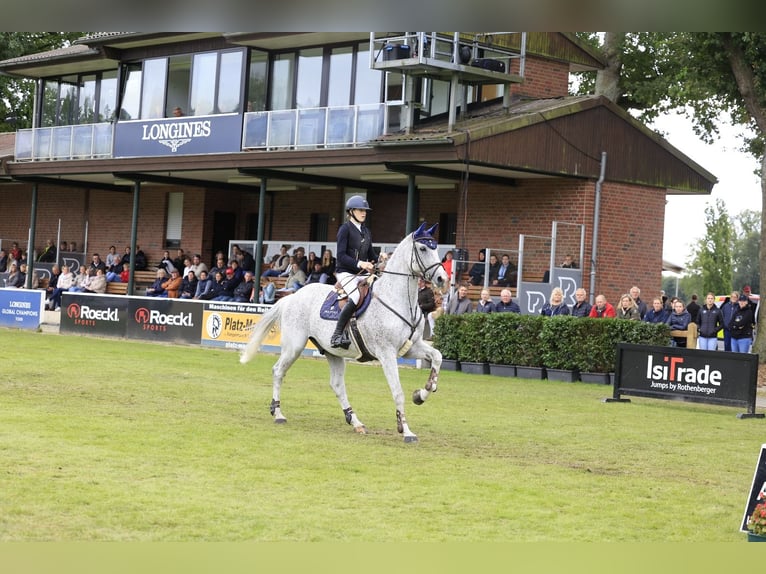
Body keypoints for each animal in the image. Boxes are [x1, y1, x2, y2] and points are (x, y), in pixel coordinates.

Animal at [242, 223, 450, 444]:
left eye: (436, 248)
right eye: (423, 249)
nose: (442, 279)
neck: (398, 299)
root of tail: (292, 296)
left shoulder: (411, 347)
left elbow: (437, 356)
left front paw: (421, 394)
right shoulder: (387, 353)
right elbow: (398, 392)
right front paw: (407, 431)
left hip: (332, 352)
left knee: (337, 384)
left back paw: (355, 421)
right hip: (294, 347)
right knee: (278, 371)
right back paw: (278, 413)